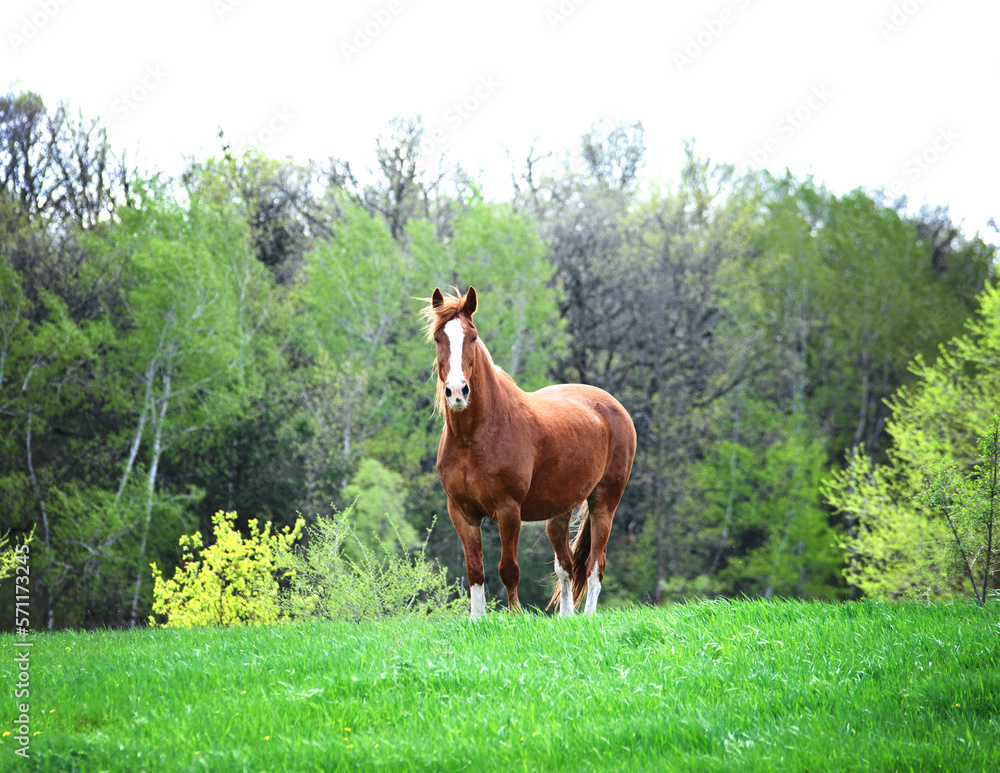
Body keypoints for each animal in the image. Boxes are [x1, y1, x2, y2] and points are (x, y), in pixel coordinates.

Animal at [422, 286, 636, 618]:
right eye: (437, 338)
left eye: (472, 336)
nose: (457, 392)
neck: (474, 436)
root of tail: (614, 407)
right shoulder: (461, 512)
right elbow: (475, 569)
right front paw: (476, 619)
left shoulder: (508, 509)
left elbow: (508, 569)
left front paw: (515, 617)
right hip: (560, 511)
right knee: (566, 566)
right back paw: (566, 618)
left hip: (605, 501)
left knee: (594, 565)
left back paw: (588, 616)